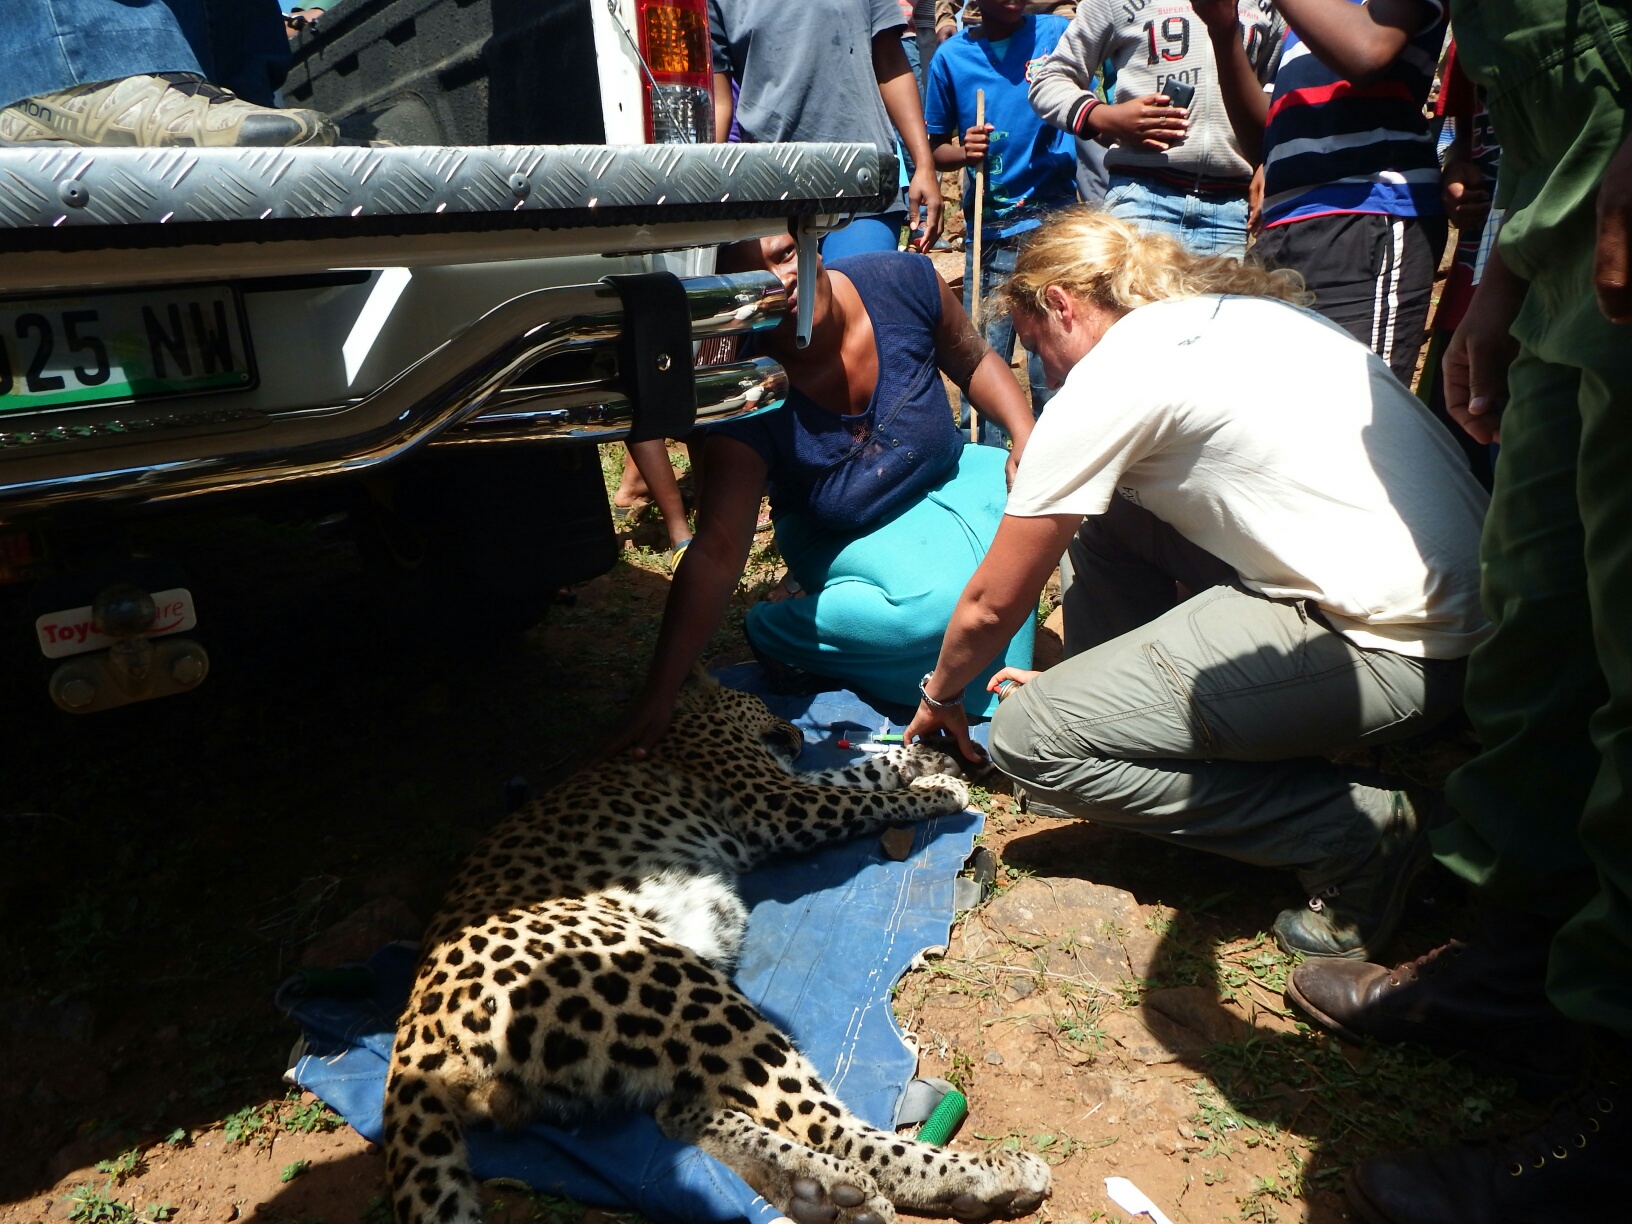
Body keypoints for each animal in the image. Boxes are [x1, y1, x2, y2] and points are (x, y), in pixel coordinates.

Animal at [383, 672, 1051, 1224]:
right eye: (766, 702)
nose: (795, 734)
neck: (690, 723)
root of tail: (414, 1024)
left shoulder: (788, 787)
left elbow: (859, 773)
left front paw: (921, 756)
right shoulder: (779, 804)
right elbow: (867, 797)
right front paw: (937, 789)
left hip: (630, 1041)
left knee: (681, 1111)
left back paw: (820, 1192)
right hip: (666, 982)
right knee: (826, 1124)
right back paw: (982, 1178)